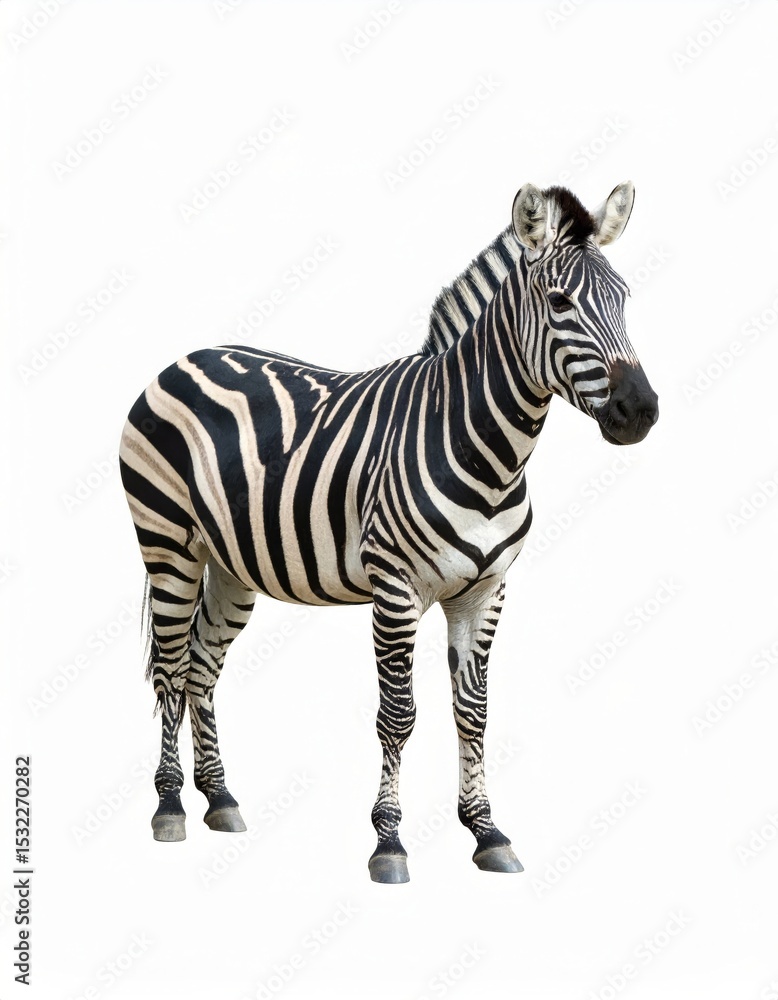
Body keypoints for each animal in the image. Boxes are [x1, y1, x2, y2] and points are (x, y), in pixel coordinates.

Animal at [119, 181, 658, 883]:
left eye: (625, 298)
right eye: (561, 302)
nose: (640, 411)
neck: (482, 447)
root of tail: (184, 358)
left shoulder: (486, 591)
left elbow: (473, 713)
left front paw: (486, 831)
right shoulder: (396, 590)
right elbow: (398, 716)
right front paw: (390, 841)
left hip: (231, 563)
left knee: (202, 667)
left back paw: (220, 798)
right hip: (169, 545)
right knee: (169, 668)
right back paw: (169, 807)